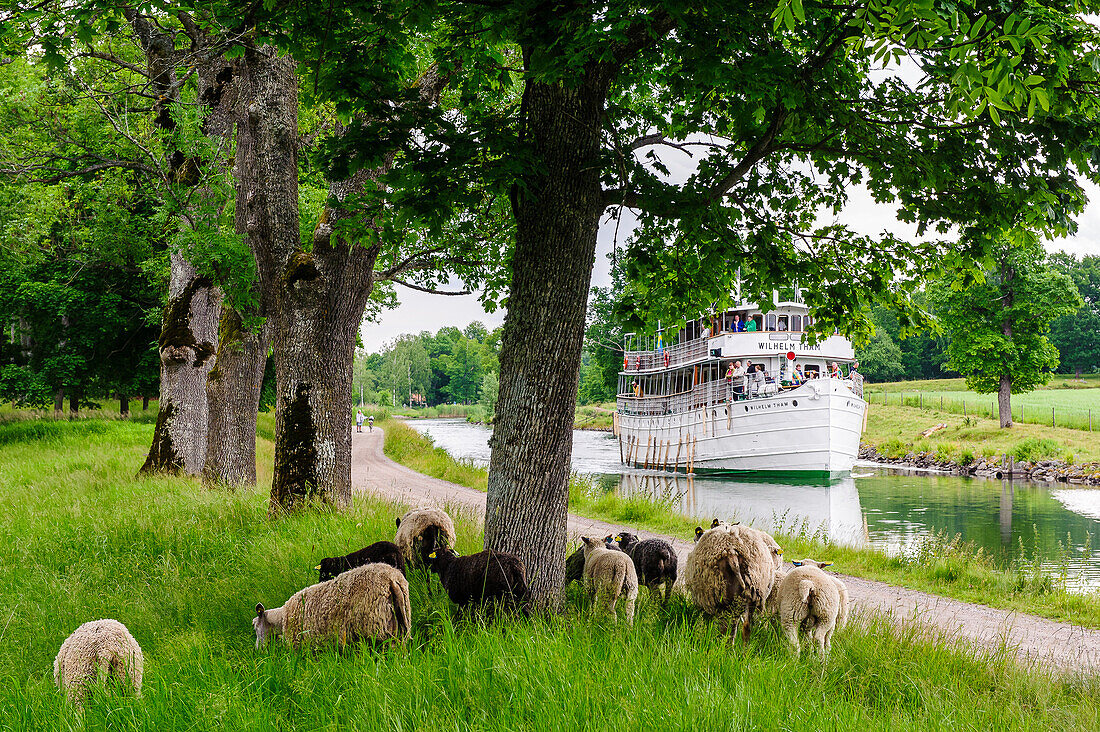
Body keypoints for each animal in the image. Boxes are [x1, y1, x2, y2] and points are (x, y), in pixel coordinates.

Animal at [251, 561, 411, 647]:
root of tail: (391, 579)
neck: (282, 618)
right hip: (402, 621)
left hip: (377, 628)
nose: (258, 649)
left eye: (255, 626)